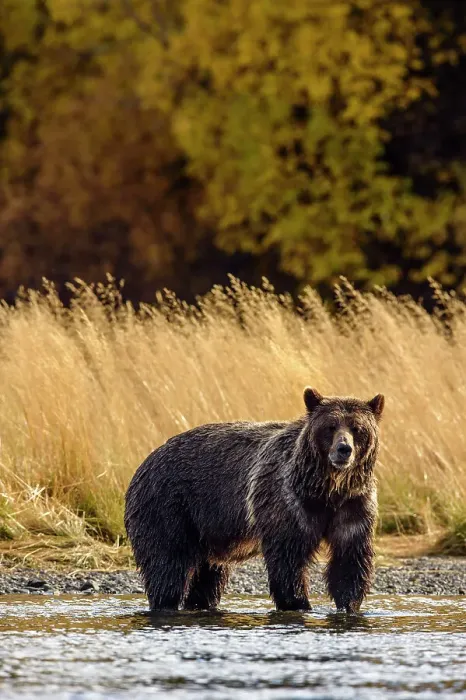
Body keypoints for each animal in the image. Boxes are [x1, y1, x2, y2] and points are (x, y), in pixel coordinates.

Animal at [124, 387, 384, 613]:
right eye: (330, 426)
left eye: (357, 428)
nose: (344, 449)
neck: (327, 489)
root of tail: (146, 460)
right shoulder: (287, 503)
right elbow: (288, 561)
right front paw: (299, 604)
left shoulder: (353, 505)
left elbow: (349, 559)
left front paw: (348, 605)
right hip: (168, 506)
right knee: (167, 565)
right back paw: (166, 602)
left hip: (207, 530)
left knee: (209, 576)